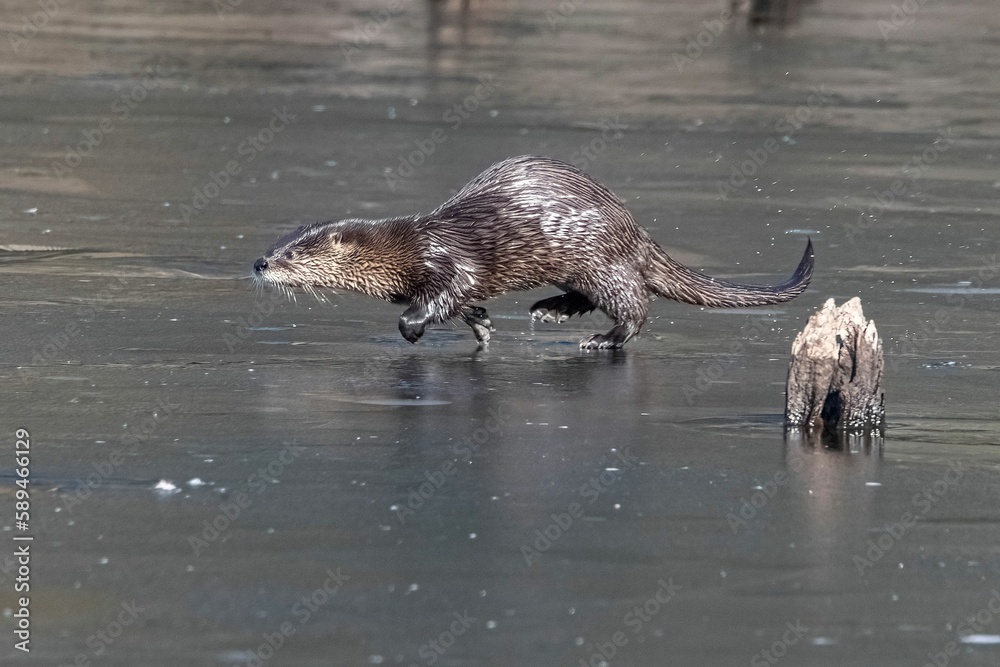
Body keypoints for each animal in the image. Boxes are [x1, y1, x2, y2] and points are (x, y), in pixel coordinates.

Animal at [252, 155, 813, 349]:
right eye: (275, 244)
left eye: (292, 255)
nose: (259, 263)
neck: (403, 253)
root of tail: (634, 229)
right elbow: (460, 305)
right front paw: (482, 325)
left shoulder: (444, 262)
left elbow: (441, 297)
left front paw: (412, 330)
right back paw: (550, 311)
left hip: (599, 259)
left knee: (636, 305)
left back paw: (601, 340)